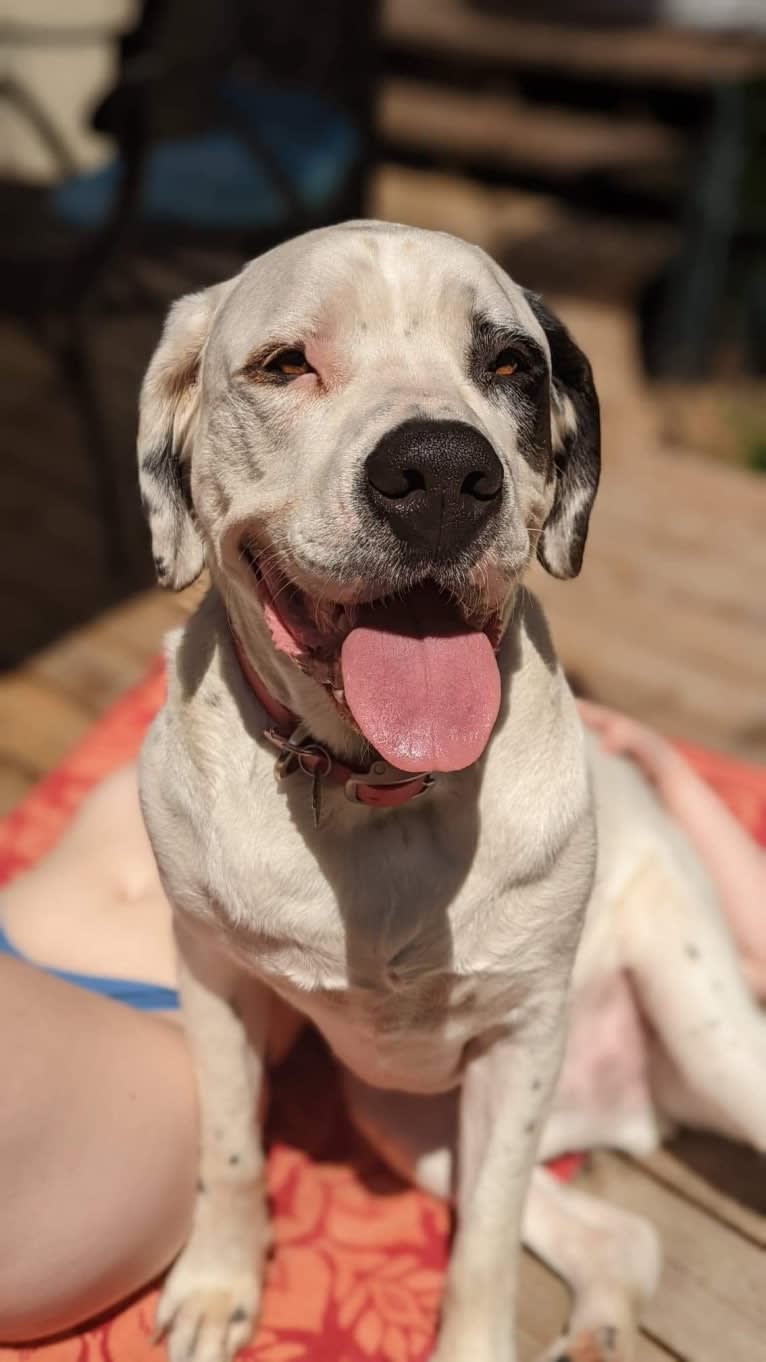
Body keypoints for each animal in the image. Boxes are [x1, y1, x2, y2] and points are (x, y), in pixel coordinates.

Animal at [136, 223, 763, 1362]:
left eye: (510, 365)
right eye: (285, 364)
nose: (436, 469)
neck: (375, 791)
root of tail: (627, 1110)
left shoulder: (518, 1046)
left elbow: (483, 1248)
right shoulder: (212, 975)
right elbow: (232, 1153)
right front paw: (217, 1283)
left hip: (707, 1029)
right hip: (406, 1125)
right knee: (620, 1240)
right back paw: (599, 1327)